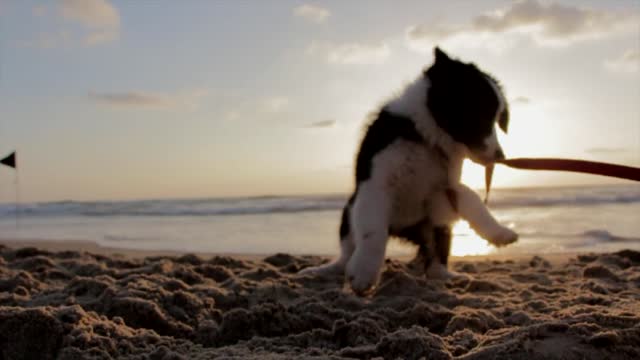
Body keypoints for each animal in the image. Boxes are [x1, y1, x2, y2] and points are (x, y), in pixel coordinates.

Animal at [302, 47, 516, 296]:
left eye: (498, 120)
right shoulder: (375, 184)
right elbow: (373, 232)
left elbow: (472, 198)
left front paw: (500, 232)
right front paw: (364, 274)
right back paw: (325, 270)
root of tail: (402, 230)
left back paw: (448, 275)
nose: (501, 157)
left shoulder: (445, 186)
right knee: (346, 254)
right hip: (349, 211)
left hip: (434, 223)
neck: (425, 137)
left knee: (435, 256)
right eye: (481, 116)